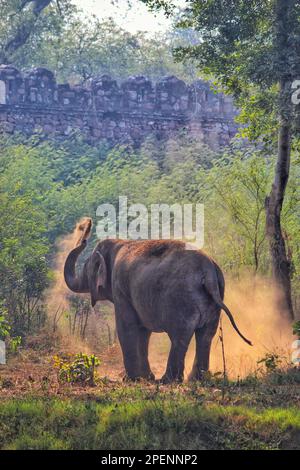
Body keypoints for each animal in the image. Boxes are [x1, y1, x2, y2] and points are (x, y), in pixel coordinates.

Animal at [64, 218, 252, 384]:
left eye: (86, 267)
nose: (86, 224)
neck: (118, 242)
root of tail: (209, 271)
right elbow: (143, 332)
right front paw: (146, 378)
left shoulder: (120, 287)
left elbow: (126, 327)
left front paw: (132, 379)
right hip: (215, 299)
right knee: (205, 336)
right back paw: (196, 379)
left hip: (182, 301)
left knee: (179, 336)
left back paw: (168, 380)